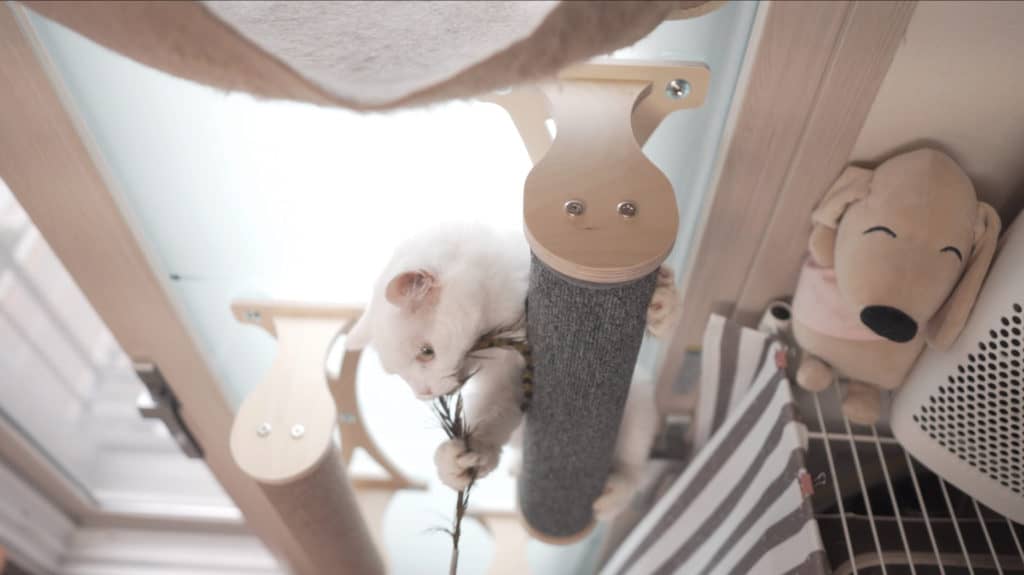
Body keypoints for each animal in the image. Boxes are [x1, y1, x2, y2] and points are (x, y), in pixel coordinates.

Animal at [346, 222, 679, 517]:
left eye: (426, 353)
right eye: (400, 376)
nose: (424, 393)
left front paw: (661, 300)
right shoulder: (506, 382)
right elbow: (490, 419)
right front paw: (458, 461)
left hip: (637, 403)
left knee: (633, 470)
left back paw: (614, 492)